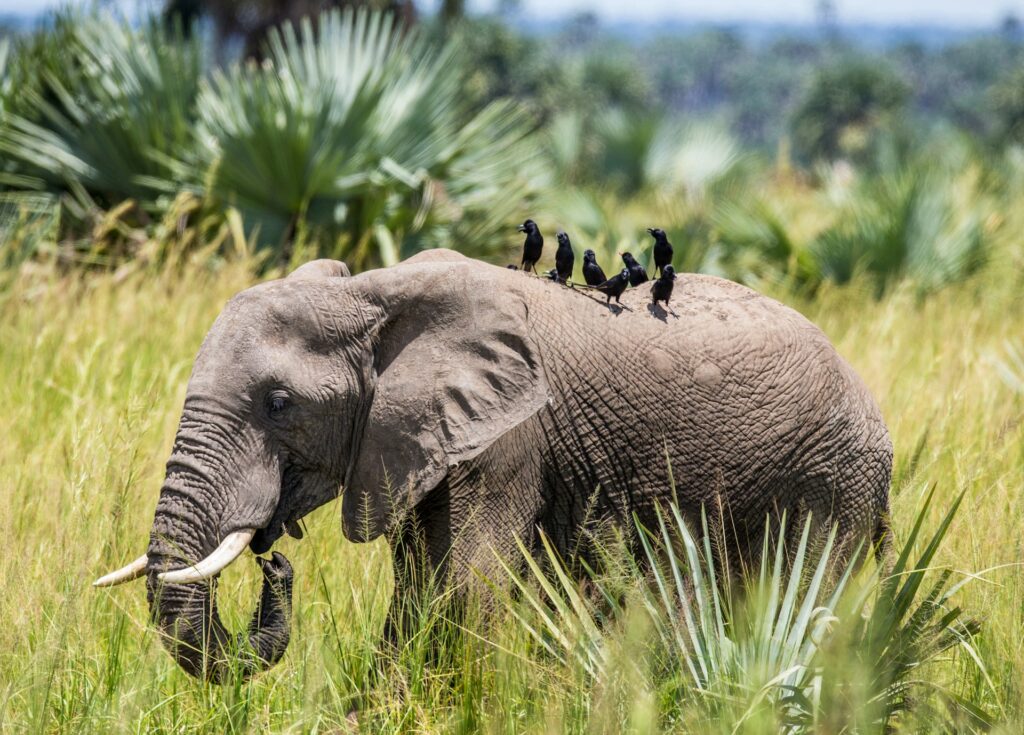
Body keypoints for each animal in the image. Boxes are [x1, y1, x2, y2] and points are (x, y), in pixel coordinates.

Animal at [94, 248, 893, 683]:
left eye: (279, 402)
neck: (373, 293)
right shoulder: (415, 439)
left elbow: (465, 582)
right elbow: (418, 584)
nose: (275, 563)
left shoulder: (511, 434)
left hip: (832, 478)